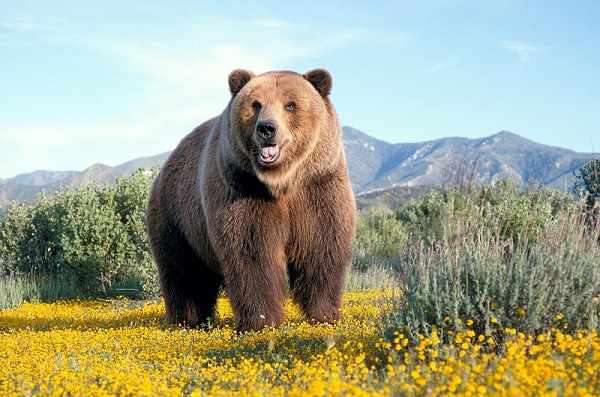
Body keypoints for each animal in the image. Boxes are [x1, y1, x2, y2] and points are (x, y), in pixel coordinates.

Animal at [146, 68, 356, 332]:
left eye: (290, 105)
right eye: (256, 104)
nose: (266, 128)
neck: (281, 182)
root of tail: (166, 165)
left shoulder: (318, 186)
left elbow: (320, 247)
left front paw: (324, 315)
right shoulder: (243, 189)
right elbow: (252, 253)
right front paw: (262, 321)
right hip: (176, 218)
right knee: (184, 273)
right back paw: (187, 321)